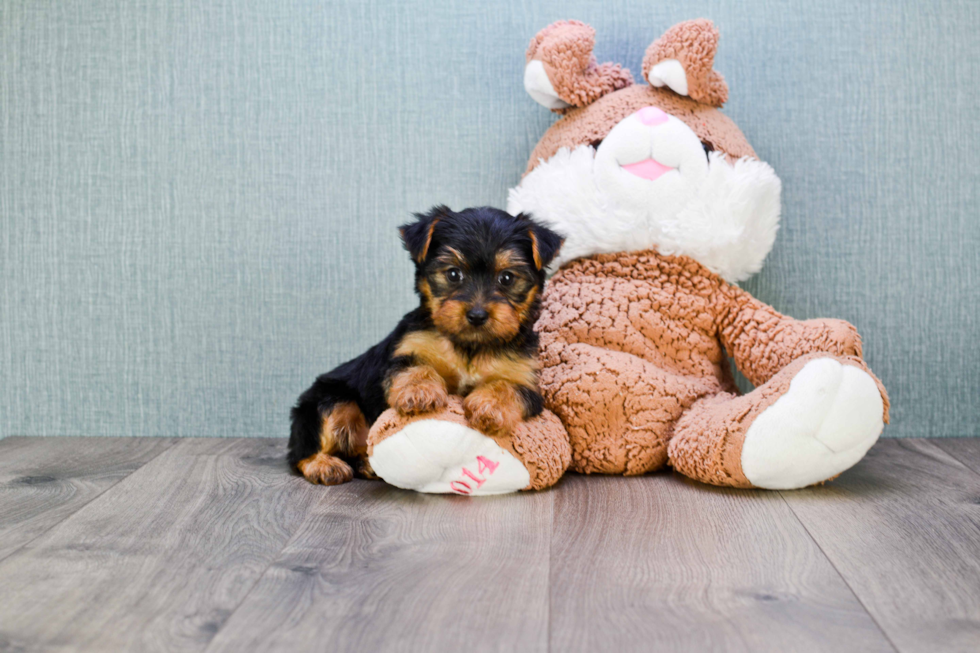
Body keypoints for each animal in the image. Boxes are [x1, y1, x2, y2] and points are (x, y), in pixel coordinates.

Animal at [288, 204, 564, 484]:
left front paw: (490, 406)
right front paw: (419, 392)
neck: (469, 346)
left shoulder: (524, 377)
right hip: (327, 400)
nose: (477, 315)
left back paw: (366, 465)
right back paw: (324, 465)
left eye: (506, 278)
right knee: (303, 449)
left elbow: (507, 386)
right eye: (453, 274)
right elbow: (415, 368)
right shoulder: (406, 351)